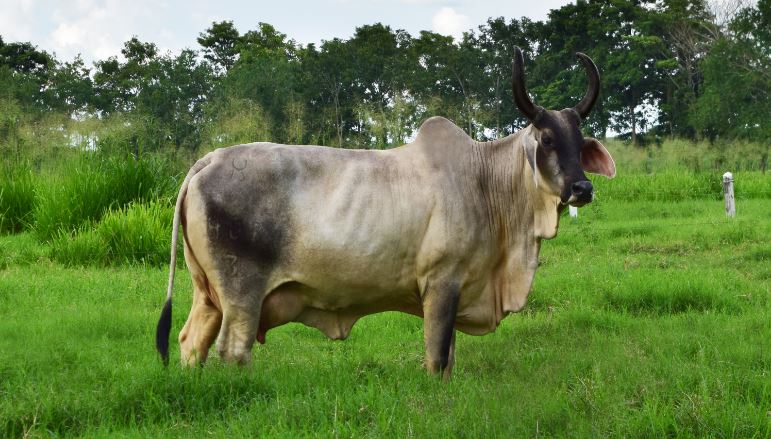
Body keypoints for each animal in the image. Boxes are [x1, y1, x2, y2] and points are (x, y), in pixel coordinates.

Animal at [155, 47, 615, 379]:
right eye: (548, 139)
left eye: (579, 142)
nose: (582, 188)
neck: (485, 181)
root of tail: (208, 160)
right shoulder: (441, 282)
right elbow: (437, 357)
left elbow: (449, 356)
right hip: (241, 295)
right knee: (233, 349)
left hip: (208, 295)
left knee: (190, 341)